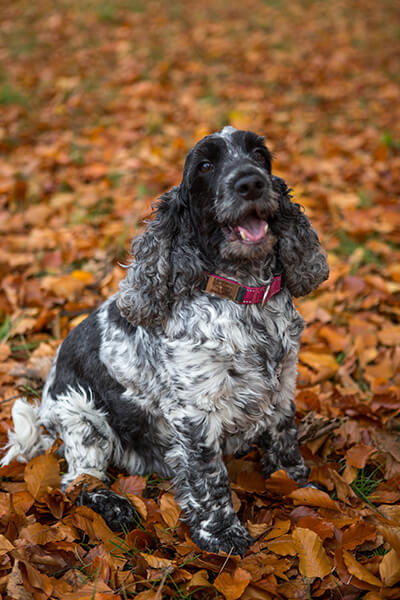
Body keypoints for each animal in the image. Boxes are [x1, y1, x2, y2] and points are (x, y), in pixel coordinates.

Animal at [2, 129, 328, 556]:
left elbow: (285, 440)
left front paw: (298, 487)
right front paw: (221, 534)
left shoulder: (283, 384)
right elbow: (209, 477)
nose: (251, 182)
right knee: (78, 481)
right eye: (205, 165)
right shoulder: (195, 411)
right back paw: (116, 507)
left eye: (260, 155)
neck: (245, 295)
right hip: (82, 418)